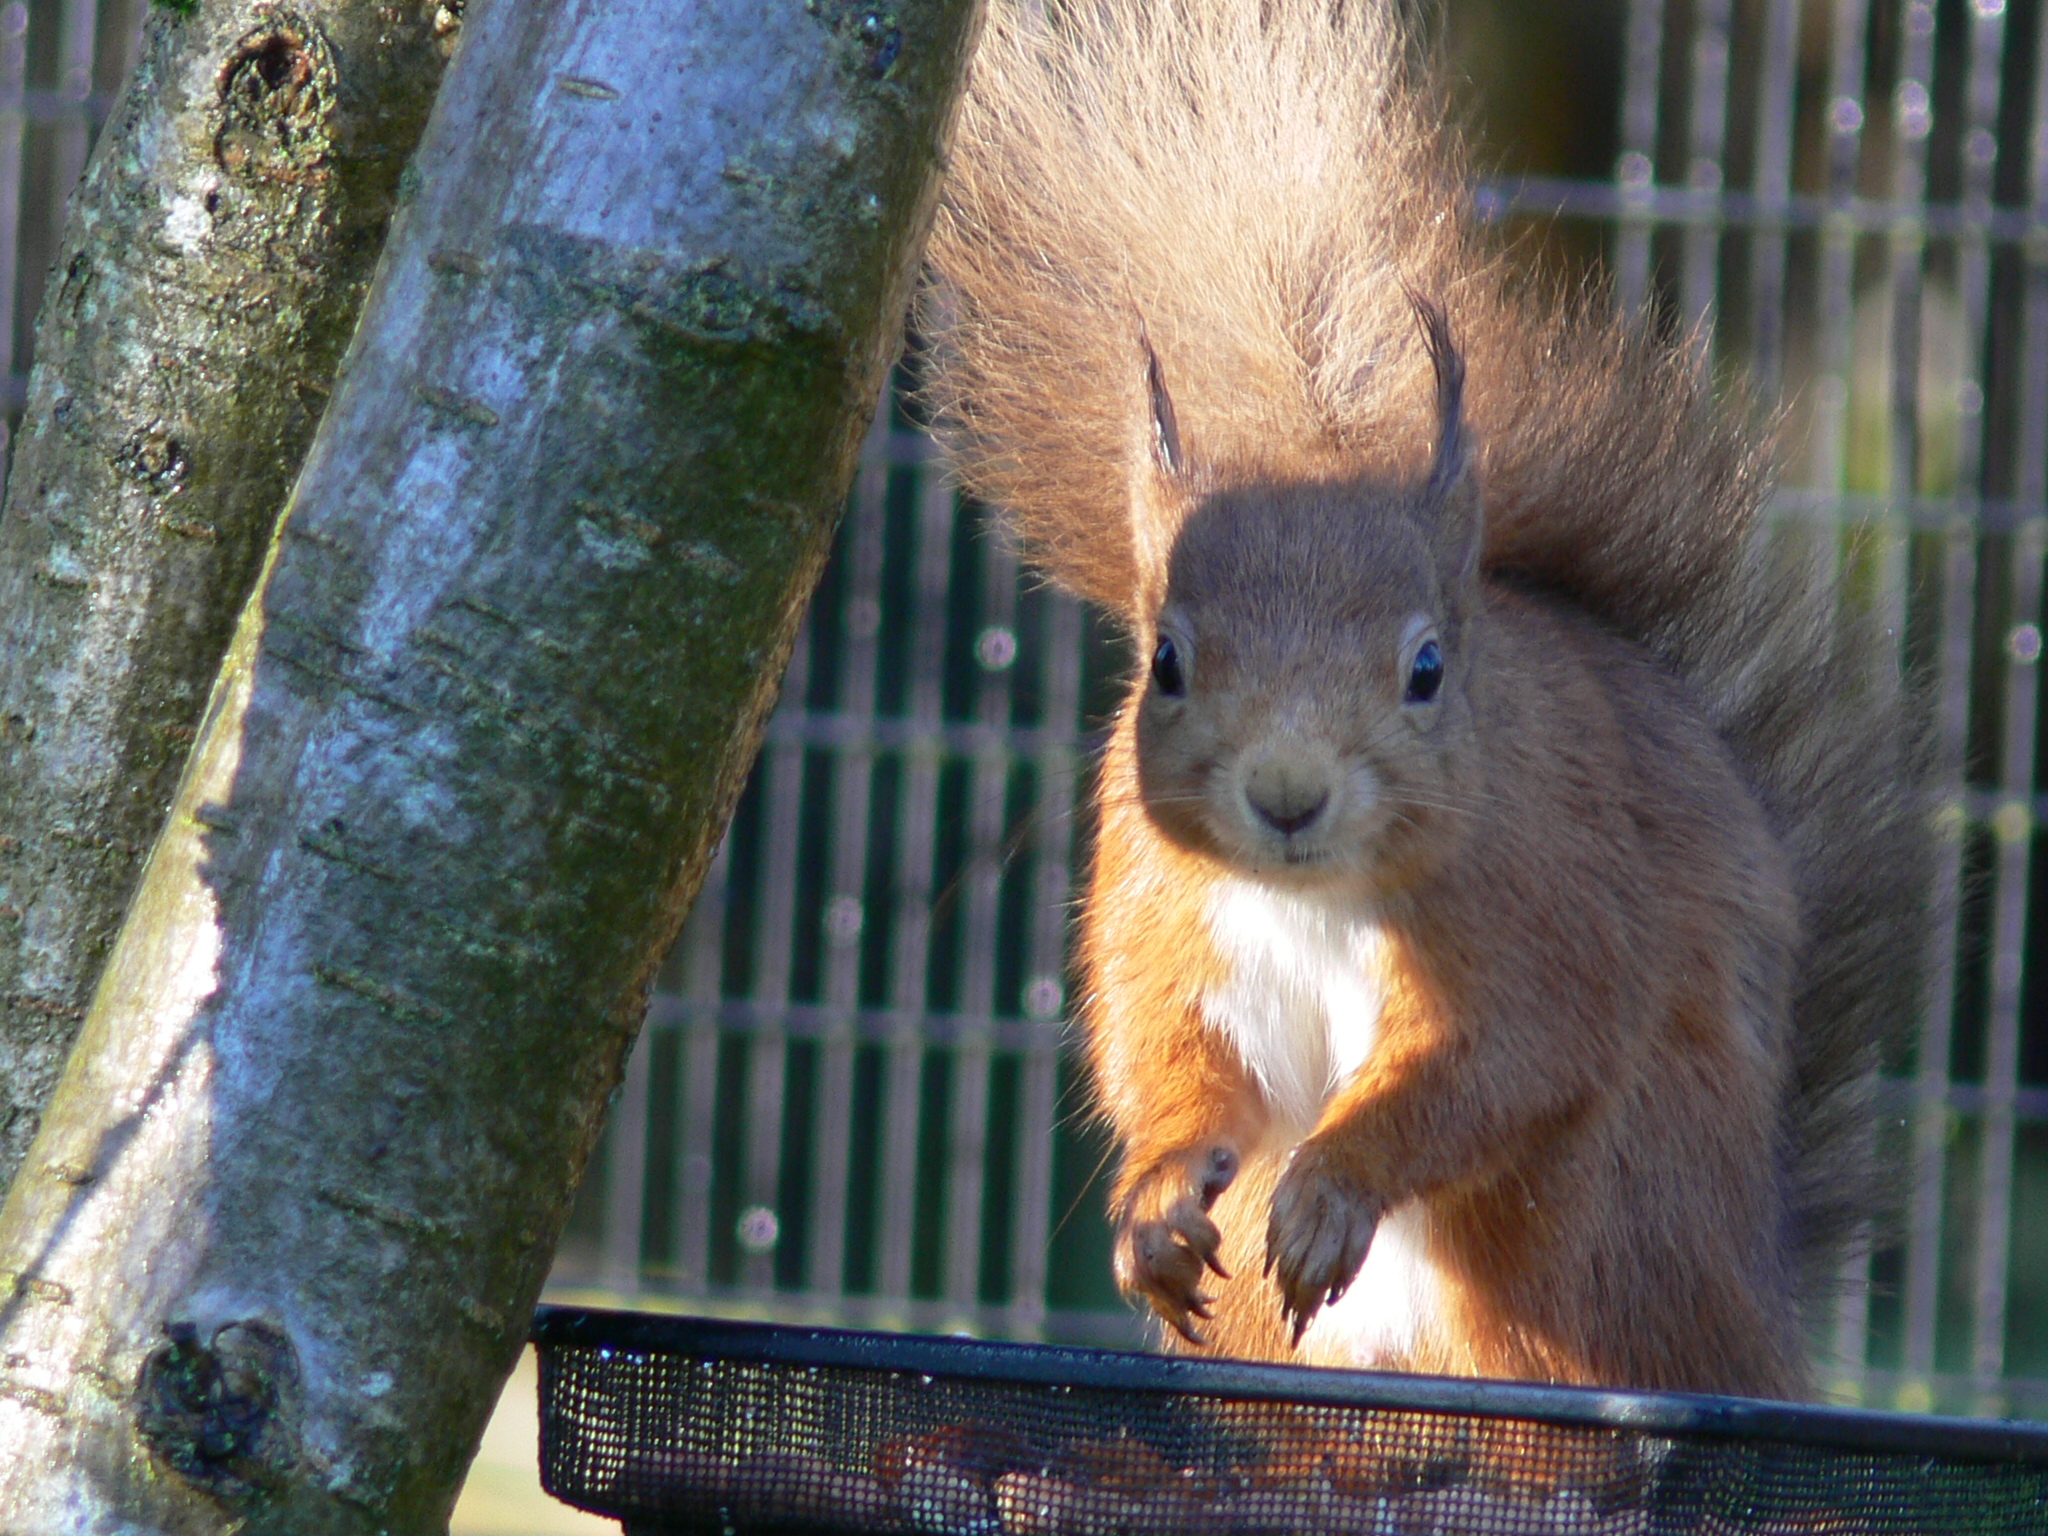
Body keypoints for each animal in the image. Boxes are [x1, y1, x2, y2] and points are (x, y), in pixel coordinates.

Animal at [921, 0, 1925, 1400]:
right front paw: (1156, 1199)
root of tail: (1755, 1330)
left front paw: (1338, 1184)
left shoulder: (1536, 907)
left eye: (1427, 670)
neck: (1308, 896)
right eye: (1163, 662)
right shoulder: (1165, 915)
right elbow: (1171, 1055)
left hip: (1605, 1221)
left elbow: (1494, 1060)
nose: (1286, 795)